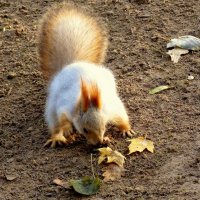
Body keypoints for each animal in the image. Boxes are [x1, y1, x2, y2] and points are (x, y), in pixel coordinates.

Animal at [38, 2, 134, 147]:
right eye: (84, 130)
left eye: (104, 126)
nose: (98, 143)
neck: (87, 98)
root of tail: (73, 63)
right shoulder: (64, 106)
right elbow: (62, 119)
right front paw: (67, 129)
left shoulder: (110, 108)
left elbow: (120, 116)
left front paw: (125, 129)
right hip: (52, 107)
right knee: (54, 123)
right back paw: (56, 137)